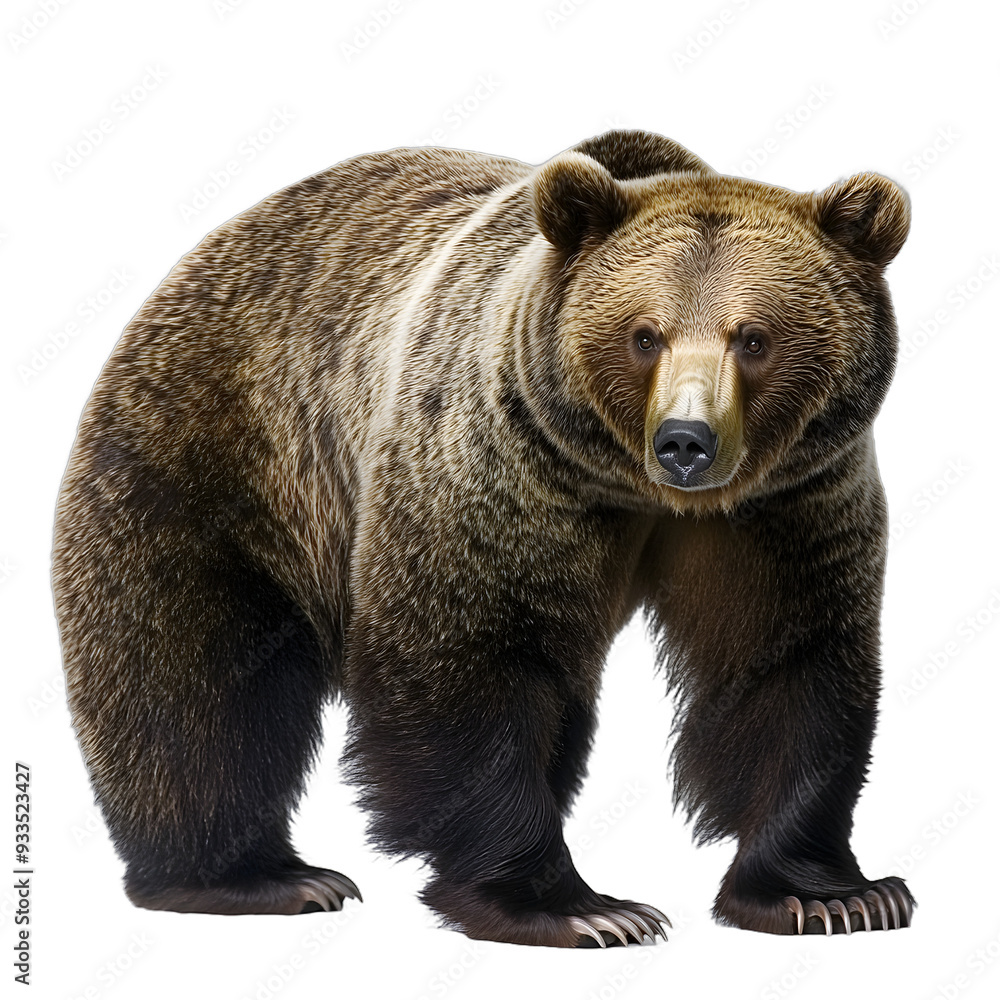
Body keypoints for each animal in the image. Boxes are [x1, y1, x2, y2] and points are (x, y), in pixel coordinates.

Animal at [52, 128, 914, 947]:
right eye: (645, 335)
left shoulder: (785, 504)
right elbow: (466, 658)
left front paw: (831, 894)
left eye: (754, 337)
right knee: (195, 681)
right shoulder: (502, 472)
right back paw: (252, 876)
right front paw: (578, 908)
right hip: (218, 458)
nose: (685, 441)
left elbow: (788, 659)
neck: (635, 489)